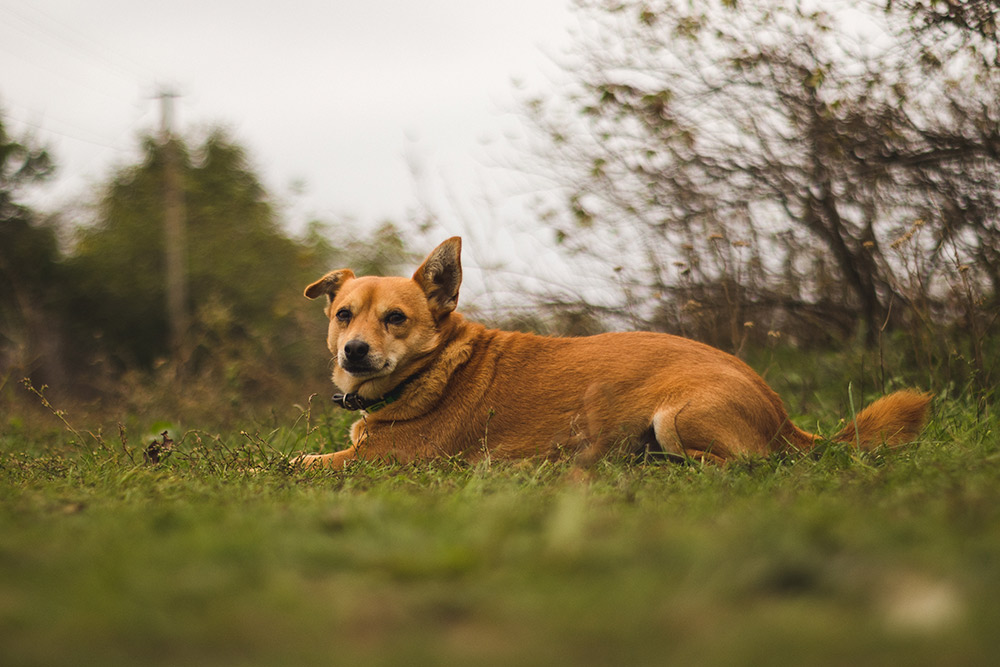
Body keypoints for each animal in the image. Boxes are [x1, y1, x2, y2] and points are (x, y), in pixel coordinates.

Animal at [294, 239, 928, 470]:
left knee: (743, 465)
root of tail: (782, 415)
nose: (353, 351)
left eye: (396, 319)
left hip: (677, 416)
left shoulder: (383, 461)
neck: (434, 369)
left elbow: (289, 462)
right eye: (344, 314)